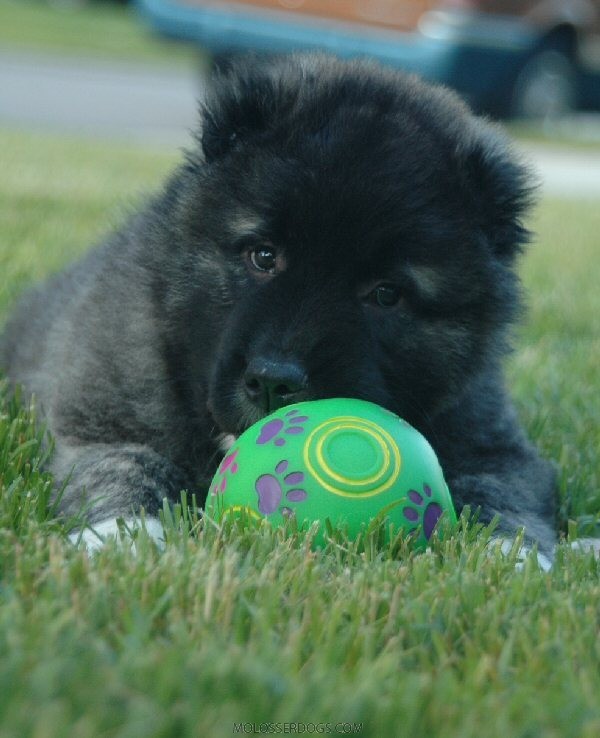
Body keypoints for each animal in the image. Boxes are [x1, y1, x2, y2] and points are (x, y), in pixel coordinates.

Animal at [0, 53, 556, 556]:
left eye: (386, 294)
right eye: (263, 256)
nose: (273, 382)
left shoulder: (494, 448)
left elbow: (504, 498)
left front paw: (514, 559)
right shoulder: (105, 424)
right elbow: (121, 470)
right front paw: (121, 540)